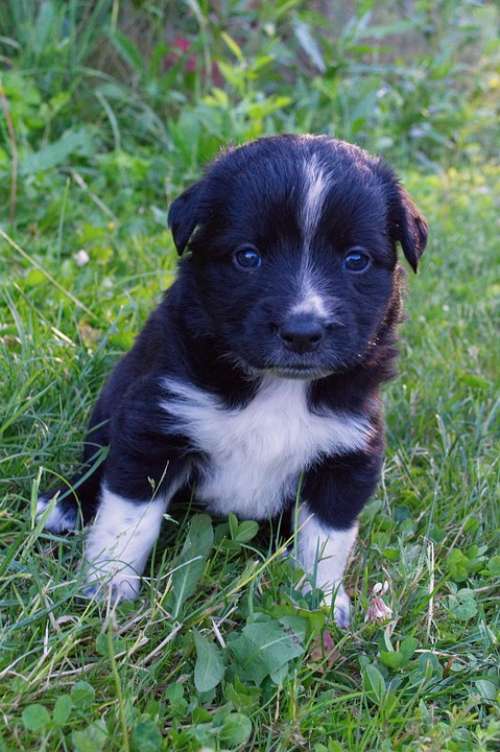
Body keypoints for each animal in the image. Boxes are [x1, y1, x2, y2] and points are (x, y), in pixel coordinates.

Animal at [37, 134, 428, 624]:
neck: (276, 386)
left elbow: (327, 537)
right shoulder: (156, 421)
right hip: (110, 404)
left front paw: (320, 600)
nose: (302, 331)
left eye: (355, 260)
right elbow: (129, 515)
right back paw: (64, 506)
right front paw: (109, 583)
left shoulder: (348, 451)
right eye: (248, 257)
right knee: (95, 464)